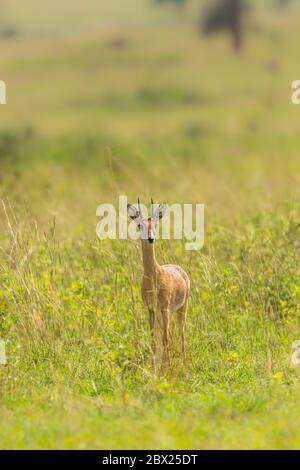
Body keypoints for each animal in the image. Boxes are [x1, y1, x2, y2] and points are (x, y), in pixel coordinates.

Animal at [127, 198, 190, 370]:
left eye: (155, 224)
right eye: (139, 225)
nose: (150, 238)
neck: (154, 274)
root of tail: (179, 269)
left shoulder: (165, 307)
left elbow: (165, 339)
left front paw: (163, 370)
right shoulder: (151, 309)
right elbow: (154, 339)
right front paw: (154, 367)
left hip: (181, 309)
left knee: (181, 335)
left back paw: (184, 366)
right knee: (170, 335)